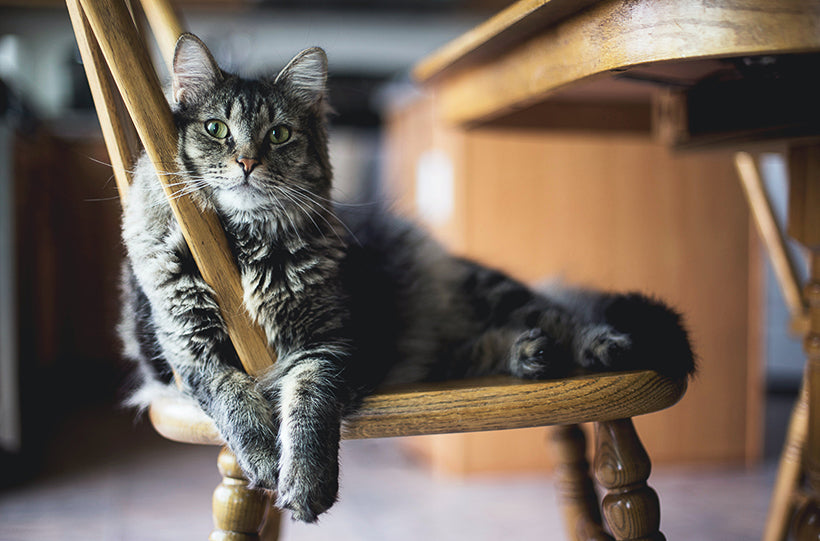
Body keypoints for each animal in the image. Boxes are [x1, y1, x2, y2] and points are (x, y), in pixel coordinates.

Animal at [118, 31, 696, 520]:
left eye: (279, 135)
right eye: (216, 128)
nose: (246, 162)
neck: (243, 244)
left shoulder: (328, 344)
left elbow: (307, 408)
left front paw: (304, 483)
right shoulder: (186, 347)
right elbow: (232, 398)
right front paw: (263, 459)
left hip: (493, 294)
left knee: (561, 315)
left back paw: (597, 346)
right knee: (485, 344)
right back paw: (529, 354)